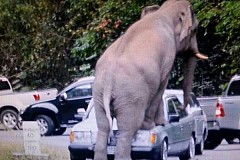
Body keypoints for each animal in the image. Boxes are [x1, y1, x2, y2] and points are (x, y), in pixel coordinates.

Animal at [93, 0, 207, 159]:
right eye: (195, 30)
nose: (179, 108)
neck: (163, 11)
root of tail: (109, 79)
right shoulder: (167, 55)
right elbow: (162, 85)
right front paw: (156, 125)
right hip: (131, 96)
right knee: (127, 130)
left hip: (98, 92)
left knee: (103, 127)